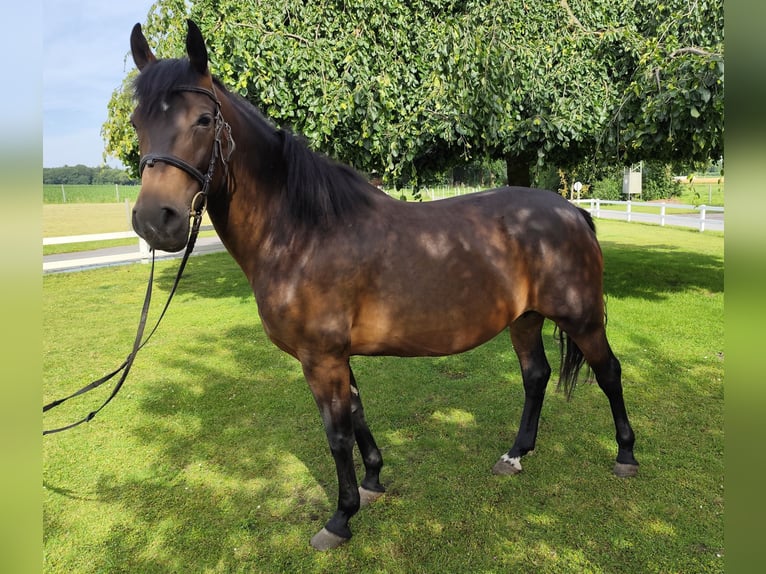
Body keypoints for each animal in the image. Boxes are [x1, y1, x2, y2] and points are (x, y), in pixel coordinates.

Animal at [129, 21, 640, 552]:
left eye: (204, 119)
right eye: (136, 122)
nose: (155, 221)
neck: (302, 232)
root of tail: (573, 211)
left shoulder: (321, 358)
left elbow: (336, 434)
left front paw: (340, 517)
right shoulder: (337, 357)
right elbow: (356, 413)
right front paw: (373, 480)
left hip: (582, 317)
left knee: (609, 373)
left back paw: (625, 456)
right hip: (524, 319)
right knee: (536, 376)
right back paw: (516, 454)